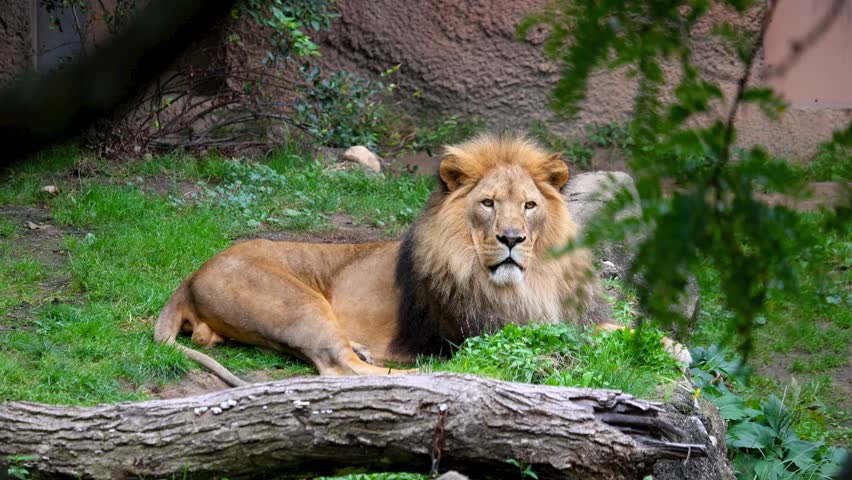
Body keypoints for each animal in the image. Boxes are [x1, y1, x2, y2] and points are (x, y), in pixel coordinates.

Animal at [155, 134, 688, 387]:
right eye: (488, 204)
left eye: (530, 206)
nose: (512, 238)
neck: (530, 281)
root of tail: (192, 275)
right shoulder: (491, 329)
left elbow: (612, 331)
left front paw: (673, 346)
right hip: (296, 302)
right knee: (339, 368)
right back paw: (439, 374)